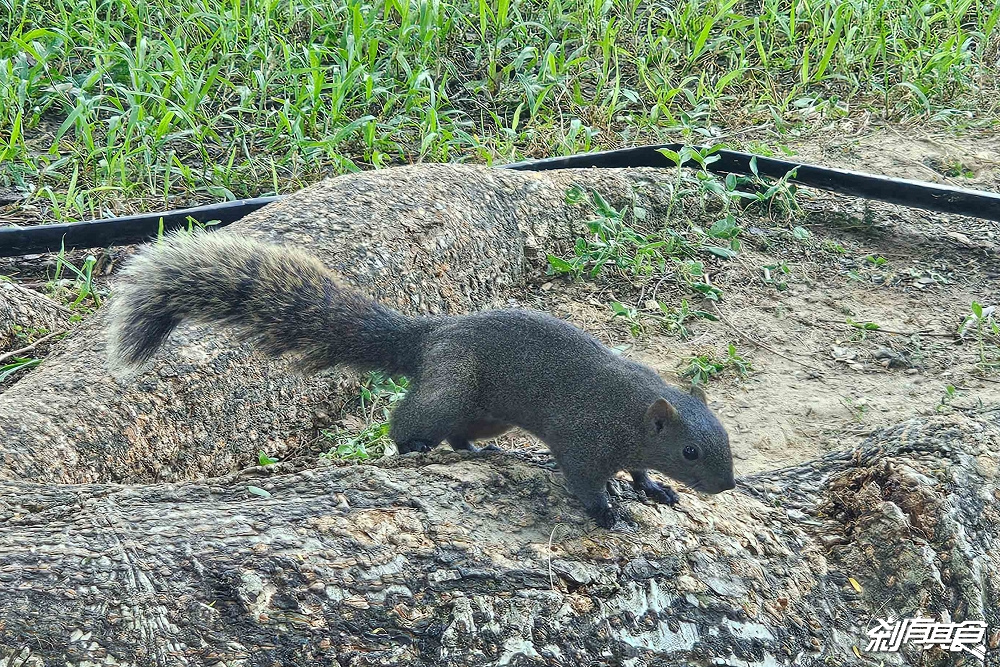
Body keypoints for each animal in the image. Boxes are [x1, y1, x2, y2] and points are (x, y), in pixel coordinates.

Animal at [107, 232, 736, 528]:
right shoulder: (586, 436)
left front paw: (654, 489)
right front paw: (607, 511)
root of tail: (430, 337)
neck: (634, 408)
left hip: (488, 411)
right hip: (452, 385)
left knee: (461, 434)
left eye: (726, 439)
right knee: (410, 420)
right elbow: (584, 479)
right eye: (689, 450)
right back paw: (413, 446)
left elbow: (637, 470)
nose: (727, 486)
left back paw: (481, 451)